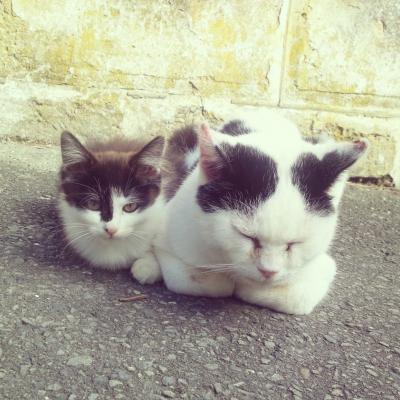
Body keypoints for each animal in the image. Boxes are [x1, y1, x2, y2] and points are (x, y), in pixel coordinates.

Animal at [135, 111, 368, 314]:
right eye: (246, 236)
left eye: (294, 244)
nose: (268, 271)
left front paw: (249, 287)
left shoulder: (320, 268)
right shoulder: (170, 240)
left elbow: (292, 298)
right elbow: (200, 280)